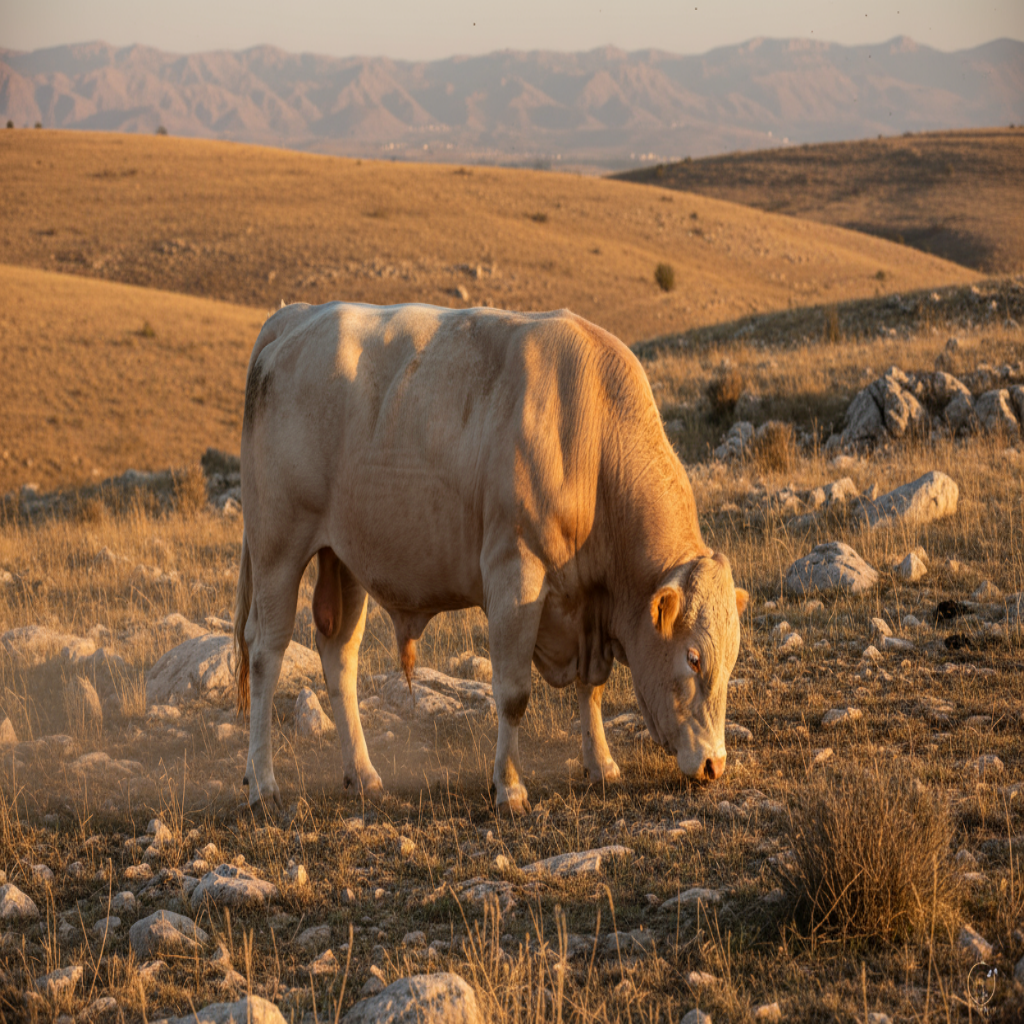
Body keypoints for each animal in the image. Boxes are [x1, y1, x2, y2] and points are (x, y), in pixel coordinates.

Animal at [233, 301, 747, 814]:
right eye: (693, 658)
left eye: (731, 660)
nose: (714, 764)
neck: (594, 450)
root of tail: (298, 314)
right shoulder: (514, 574)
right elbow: (514, 694)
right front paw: (510, 787)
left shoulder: (589, 609)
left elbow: (593, 689)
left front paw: (601, 764)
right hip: (277, 548)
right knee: (265, 653)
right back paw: (262, 783)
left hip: (344, 559)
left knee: (340, 656)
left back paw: (363, 775)